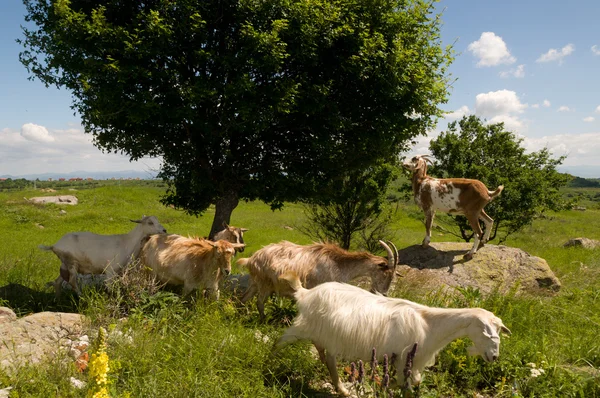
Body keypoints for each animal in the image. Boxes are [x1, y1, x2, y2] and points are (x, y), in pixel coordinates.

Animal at [238, 239, 398, 320]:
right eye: (386, 273)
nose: (383, 293)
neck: (340, 264)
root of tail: (251, 259)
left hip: (255, 282)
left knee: (243, 298)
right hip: (265, 284)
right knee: (259, 302)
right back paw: (263, 321)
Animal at [276, 272, 510, 396]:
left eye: (499, 330)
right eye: (485, 332)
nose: (494, 356)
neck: (431, 325)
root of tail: (306, 293)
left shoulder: (410, 361)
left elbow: (412, 382)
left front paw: (385, 386)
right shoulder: (404, 358)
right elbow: (406, 386)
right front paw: (387, 387)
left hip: (328, 334)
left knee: (328, 357)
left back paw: (341, 388)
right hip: (303, 328)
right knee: (280, 342)